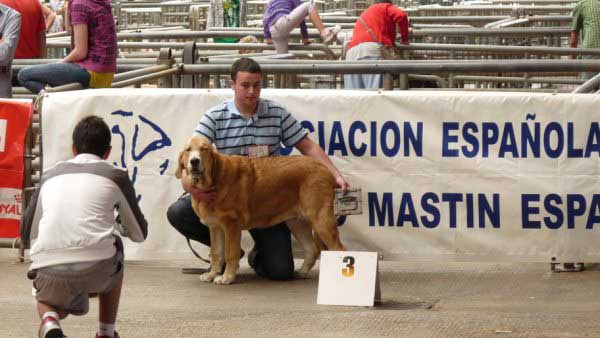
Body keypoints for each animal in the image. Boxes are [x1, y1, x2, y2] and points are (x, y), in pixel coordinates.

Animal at [176, 135, 344, 286]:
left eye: (203, 149)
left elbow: (230, 253)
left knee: (339, 249)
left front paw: (227, 277)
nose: (194, 161)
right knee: (312, 249)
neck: (212, 180)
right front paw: (211, 275)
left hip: (322, 220)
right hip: (297, 222)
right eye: (188, 150)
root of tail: (324, 167)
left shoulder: (231, 225)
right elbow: (216, 253)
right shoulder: (215, 227)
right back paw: (302, 272)